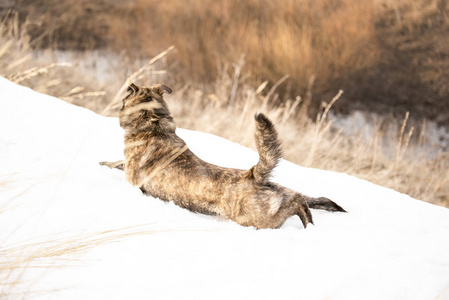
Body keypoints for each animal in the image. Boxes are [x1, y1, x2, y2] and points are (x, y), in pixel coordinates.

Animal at [100, 83, 344, 229]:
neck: (155, 126)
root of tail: (254, 175)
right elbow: (116, 162)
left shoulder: (131, 175)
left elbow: (118, 164)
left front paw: (104, 164)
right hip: (280, 196)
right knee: (306, 197)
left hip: (258, 219)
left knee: (296, 203)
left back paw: (307, 221)